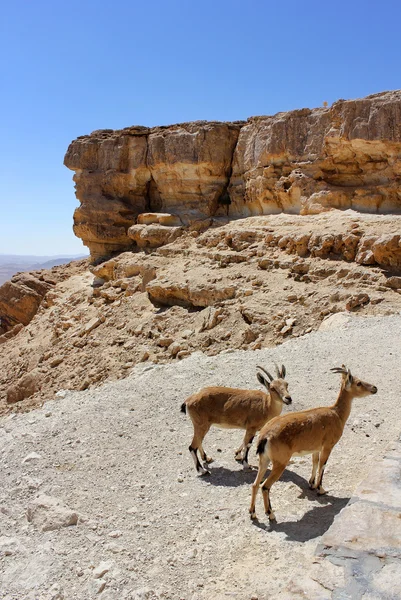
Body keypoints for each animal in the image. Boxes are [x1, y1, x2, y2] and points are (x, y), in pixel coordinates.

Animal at [248, 366, 376, 520]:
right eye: (358, 383)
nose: (374, 388)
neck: (337, 414)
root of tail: (264, 436)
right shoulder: (328, 446)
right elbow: (322, 464)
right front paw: (321, 489)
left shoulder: (316, 447)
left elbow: (315, 462)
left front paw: (311, 484)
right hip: (280, 462)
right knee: (265, 486)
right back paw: (270, 514)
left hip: (264, 459)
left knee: (255, 484)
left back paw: (253, 513)